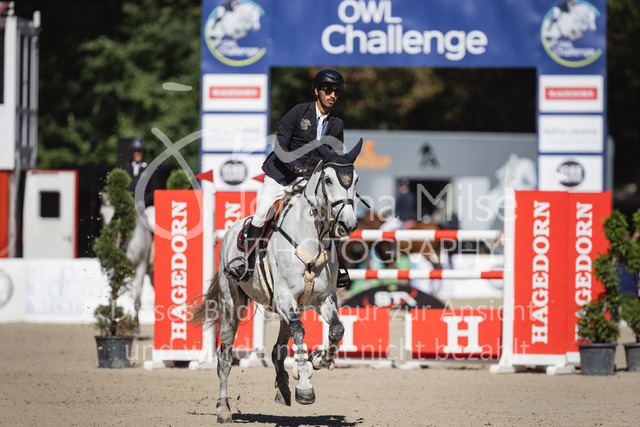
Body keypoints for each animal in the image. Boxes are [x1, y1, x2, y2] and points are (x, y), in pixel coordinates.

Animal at [99, 192, 154, 326]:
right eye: (101, 215)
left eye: (117, 215)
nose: (111, 242)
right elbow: (112, 297)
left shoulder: (141, 268)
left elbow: (137, 301)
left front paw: (136, 327)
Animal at [190, 140, 363, 423]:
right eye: (327, 179)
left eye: (355, 179)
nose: (348, 224)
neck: (311, 236)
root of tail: (229, 231)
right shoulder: (285, 298)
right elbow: (300, 333)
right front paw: (305, 387)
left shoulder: (322, 299)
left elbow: (336, 329)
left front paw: (319, 360)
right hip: (233, 305)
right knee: (224, 355)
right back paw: (223, 409)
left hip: (286, 309)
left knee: (277, 349)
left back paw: (283, 385)